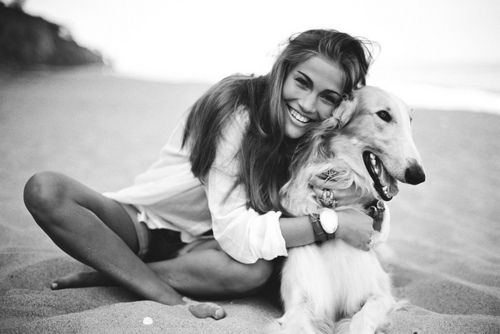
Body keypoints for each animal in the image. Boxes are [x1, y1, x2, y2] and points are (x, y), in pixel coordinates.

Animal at [276, 87, 424, 334]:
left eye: (410, 120)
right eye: (383, 115)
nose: (419, 175)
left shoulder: (378, 296)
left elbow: (361, 321)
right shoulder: (300, 303)